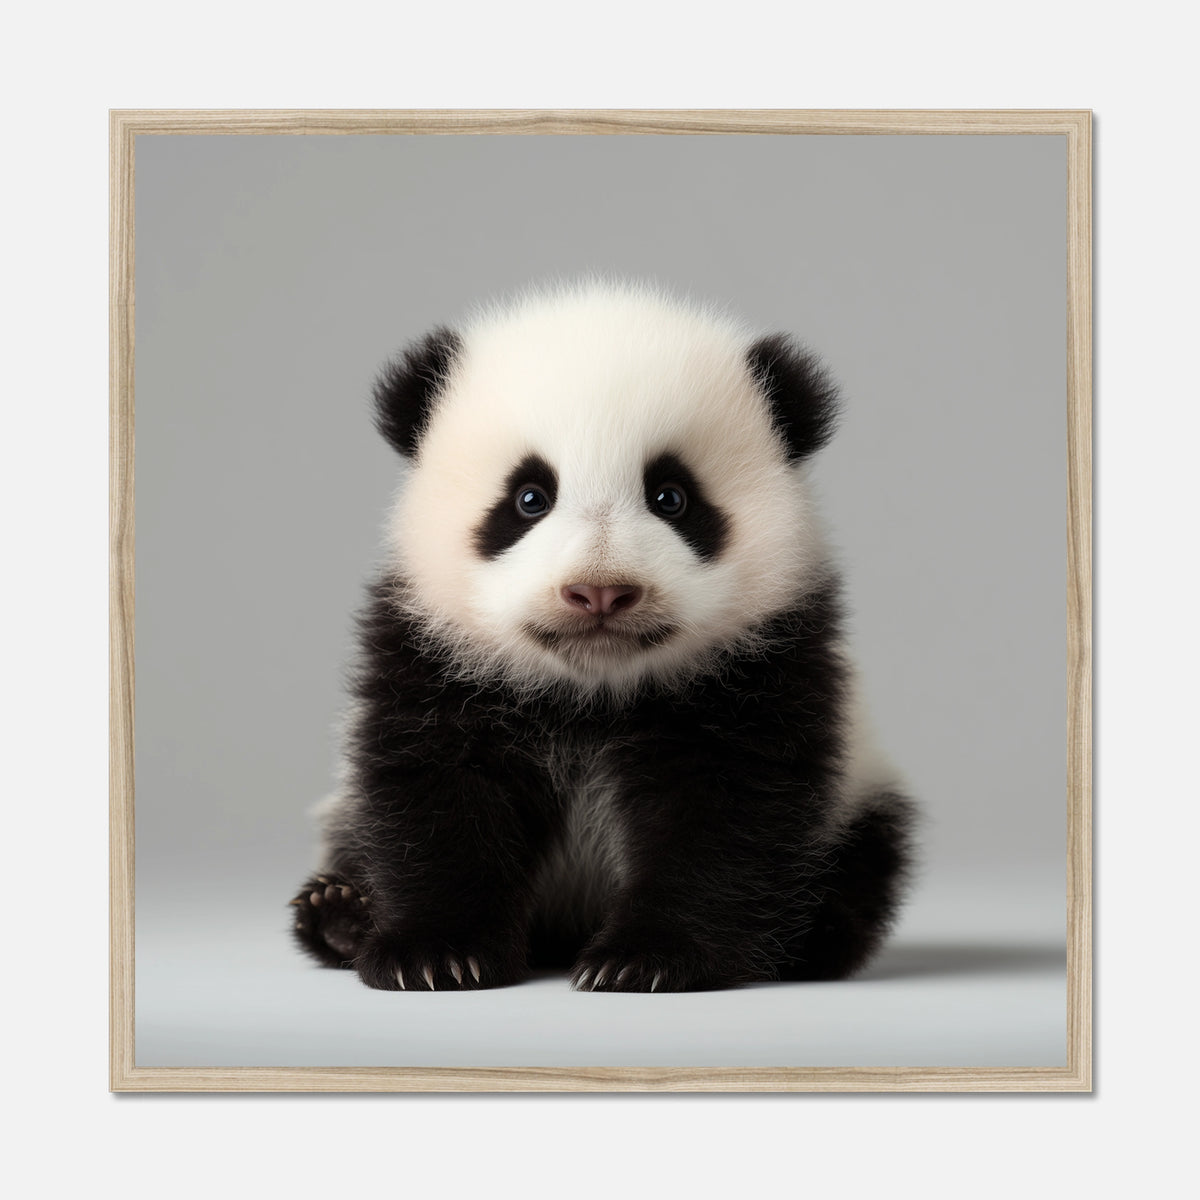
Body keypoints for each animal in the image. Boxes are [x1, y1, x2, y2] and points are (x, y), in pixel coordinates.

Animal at [290, 281, 915, 992]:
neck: (593, 691)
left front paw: (648, 958)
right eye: (529, 498)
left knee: (860, 866)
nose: (600, 592)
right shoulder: (433, 650)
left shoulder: (765, 662)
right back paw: (338, 913)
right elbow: (435, 791)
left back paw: (810, 937)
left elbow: (726, 809)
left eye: (671, 497)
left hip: (858, 796)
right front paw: (432, 953)